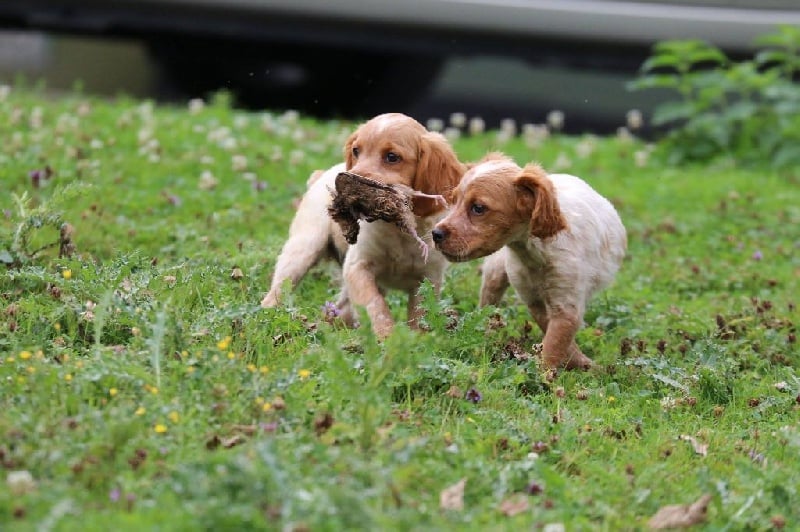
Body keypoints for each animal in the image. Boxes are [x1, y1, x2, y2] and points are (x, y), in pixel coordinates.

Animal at [262, 113, 462, 336]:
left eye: (392, 157)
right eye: (356, 151)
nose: (346, 181)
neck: (398, 231)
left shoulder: (429, 278)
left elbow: (420, 318)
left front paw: (414, 341)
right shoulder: (357, 267)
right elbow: (375, 305)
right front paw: (387, 336)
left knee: (339, 309)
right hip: (302, 251)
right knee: (274, 295)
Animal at [432, 153, 624, 370]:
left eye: (478, 208)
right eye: (454, 200)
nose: (435, 234)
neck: (534, 252)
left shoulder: (566, 306)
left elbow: (554, 344)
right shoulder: (533, 299)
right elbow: (556, 341)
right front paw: (577, 364)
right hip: (495, 273)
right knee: (487, 305)